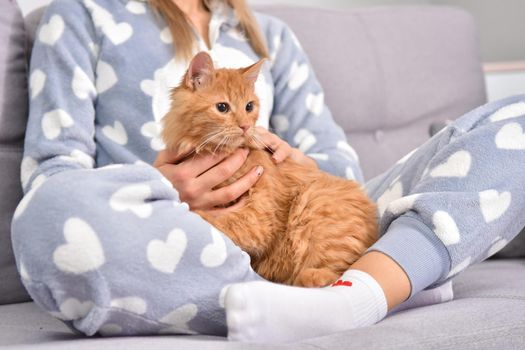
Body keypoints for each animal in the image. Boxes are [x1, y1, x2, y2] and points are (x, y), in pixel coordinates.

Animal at [161, 52, 376, 288]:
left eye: (249, 107)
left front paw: (193, 210)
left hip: (314, 201)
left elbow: (214, 218)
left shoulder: (258, 217)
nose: (245, 126)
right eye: (222, 107)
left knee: (336, 273)